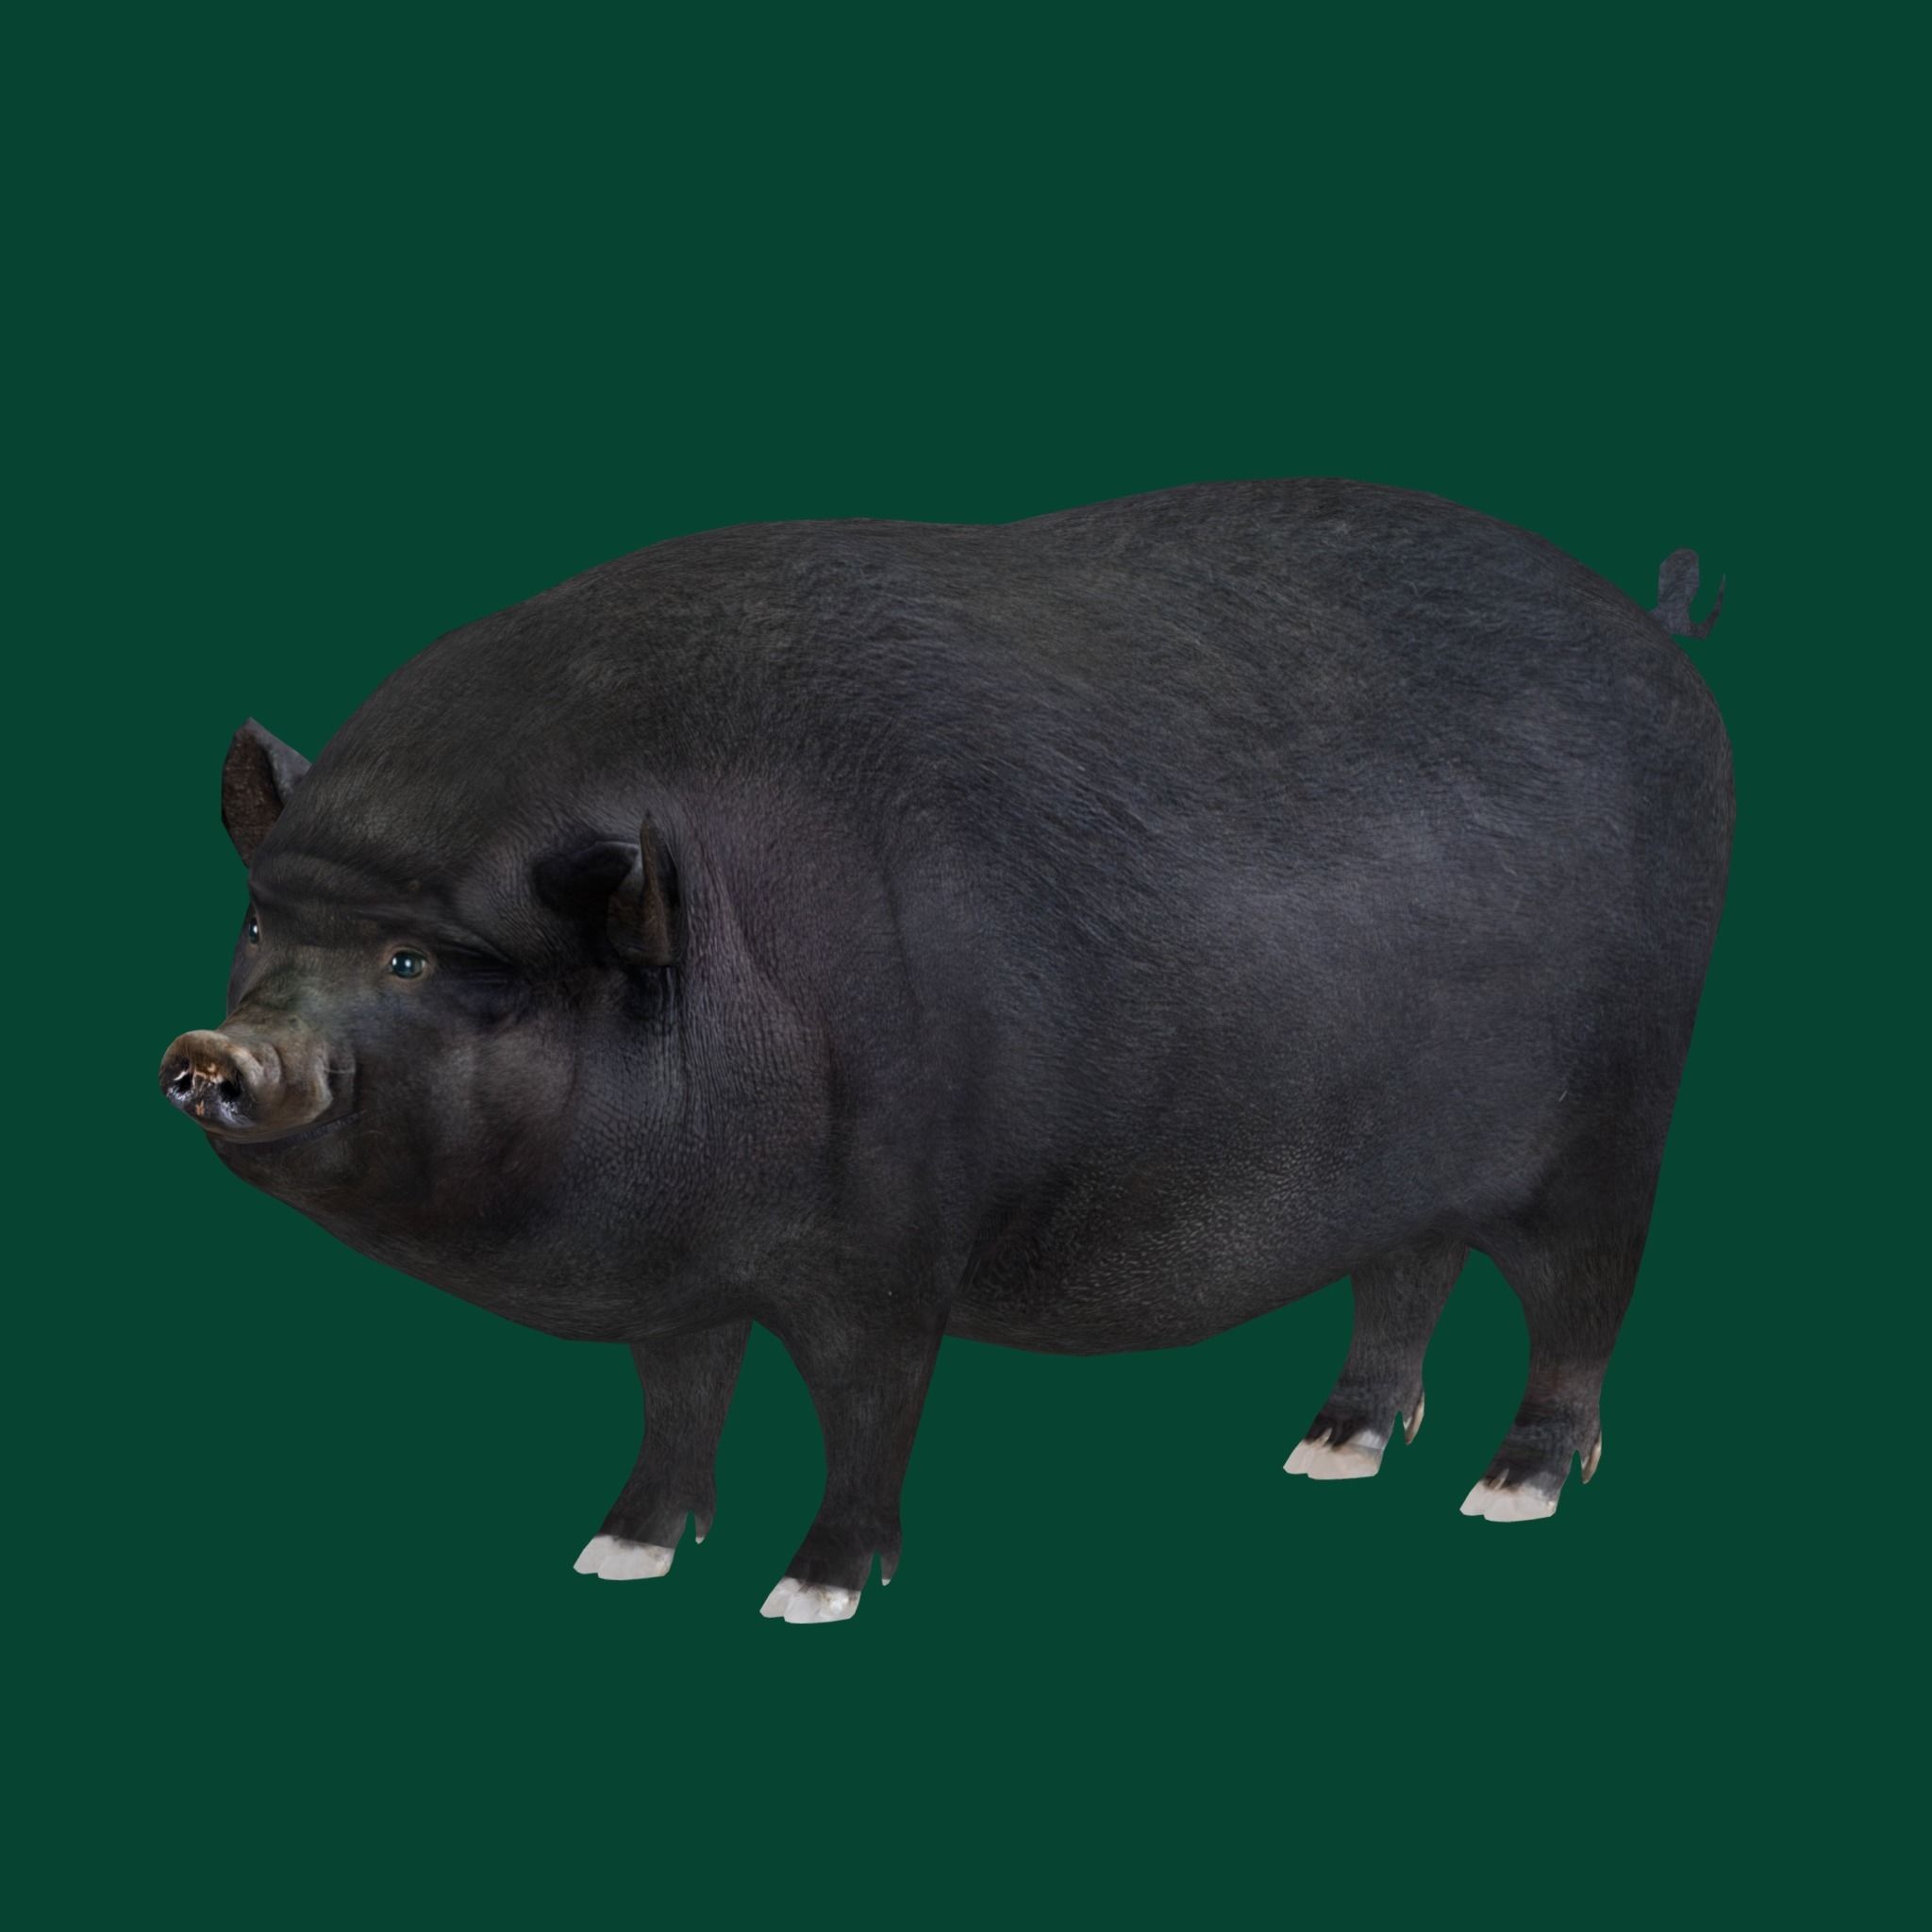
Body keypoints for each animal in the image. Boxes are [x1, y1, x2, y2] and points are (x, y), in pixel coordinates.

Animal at [159, 477, 1732, 1623]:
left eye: (416, 960)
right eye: (261, 920)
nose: (217, 1053)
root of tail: (1657, 636)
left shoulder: (897, 1237)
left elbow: (870, 1404)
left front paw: (809, 1597)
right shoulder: (682, 1273)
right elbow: (680, 1395)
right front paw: (617, 1555)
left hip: (1621, 1109)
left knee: (1586, 1300)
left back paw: (1510, 1492)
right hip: (1412, 1169)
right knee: (1409, 1273)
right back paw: (1329, 1453)